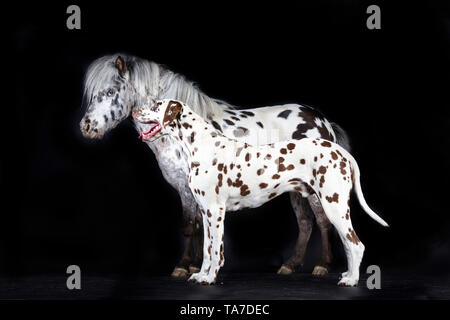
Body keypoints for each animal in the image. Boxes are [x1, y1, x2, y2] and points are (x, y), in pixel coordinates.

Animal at [82, 53, 354, 276]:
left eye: (110, 92)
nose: (86, 126)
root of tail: (323, 121)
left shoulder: (188, 188)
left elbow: (189, 226)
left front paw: (183, 266)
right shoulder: (192, 191)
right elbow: (199, 227)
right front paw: (195, 265)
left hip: (317, 189)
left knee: (323, 220)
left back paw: (323, 265)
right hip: (297, 189)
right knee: (306, 223)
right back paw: (291, 265)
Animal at [132, 99, 388, 286]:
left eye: (156, 106)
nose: (134, 111)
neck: (202, 145)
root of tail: (339, 151)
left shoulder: (216, 212)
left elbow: (216, 251)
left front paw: (210, 277)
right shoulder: (205, 213)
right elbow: (206, 250)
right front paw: (201, 274)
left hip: (334, 206)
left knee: (355, 244)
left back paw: (351, 280)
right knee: (346, 243)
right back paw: (347, 274)